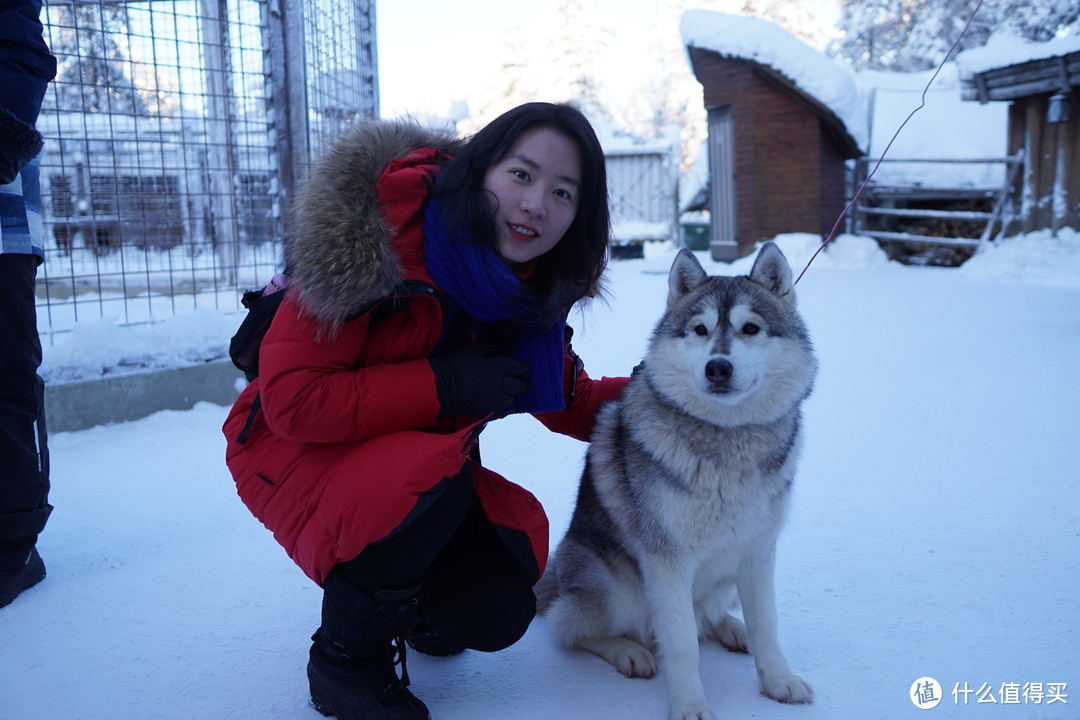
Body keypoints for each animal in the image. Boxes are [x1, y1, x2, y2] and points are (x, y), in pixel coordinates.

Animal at [540, 243, 816, 720]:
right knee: (571, 626)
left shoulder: (758, 551)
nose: (718, 368)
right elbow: (683, 642)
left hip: (723, 584)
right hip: (615, 587)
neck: (727, 440)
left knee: (708, 616)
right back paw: (628, 651)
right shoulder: (668, 562)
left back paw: (730, 628)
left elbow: (766, 625)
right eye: (700, 330)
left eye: (750, 328)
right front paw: (689, 706)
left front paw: (778, 681)